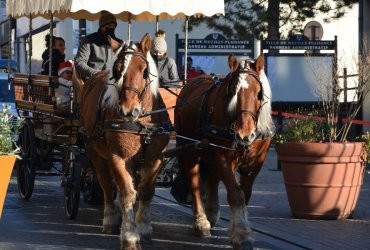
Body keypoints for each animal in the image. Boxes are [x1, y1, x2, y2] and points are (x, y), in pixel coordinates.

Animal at [80, 33, 170, 250]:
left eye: (145, 71)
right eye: (117, 70)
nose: (128, 110)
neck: (141, 122)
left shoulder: (156, 158)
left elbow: (145, 191)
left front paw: (143, 227)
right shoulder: (118, 157)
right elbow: (127, 193)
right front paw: (129, 236)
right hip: (95, 152)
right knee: (105, 184)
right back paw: (110, 220)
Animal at [174, 53, 274, 249]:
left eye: (259, 93)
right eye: (233, 92)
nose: (244, 134)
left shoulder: (258, 161)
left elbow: (245, 194)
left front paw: (239, 227)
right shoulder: (225, 157)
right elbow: (236, 195)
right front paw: (242, 234)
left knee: (212, 178)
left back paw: (212, 213)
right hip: (190, 148)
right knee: (195, 183)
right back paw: (201, 221)